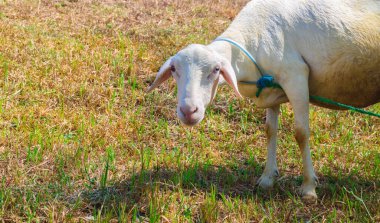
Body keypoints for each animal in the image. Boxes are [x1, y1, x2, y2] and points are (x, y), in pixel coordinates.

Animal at [148, 0, 380, 199]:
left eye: (215, 70)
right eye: (173, 69)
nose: (189, 111)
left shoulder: (296, 78)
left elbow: (301, 134)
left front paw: (308, 187)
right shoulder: (271, 89)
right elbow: (270, 131)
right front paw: (267, 179)